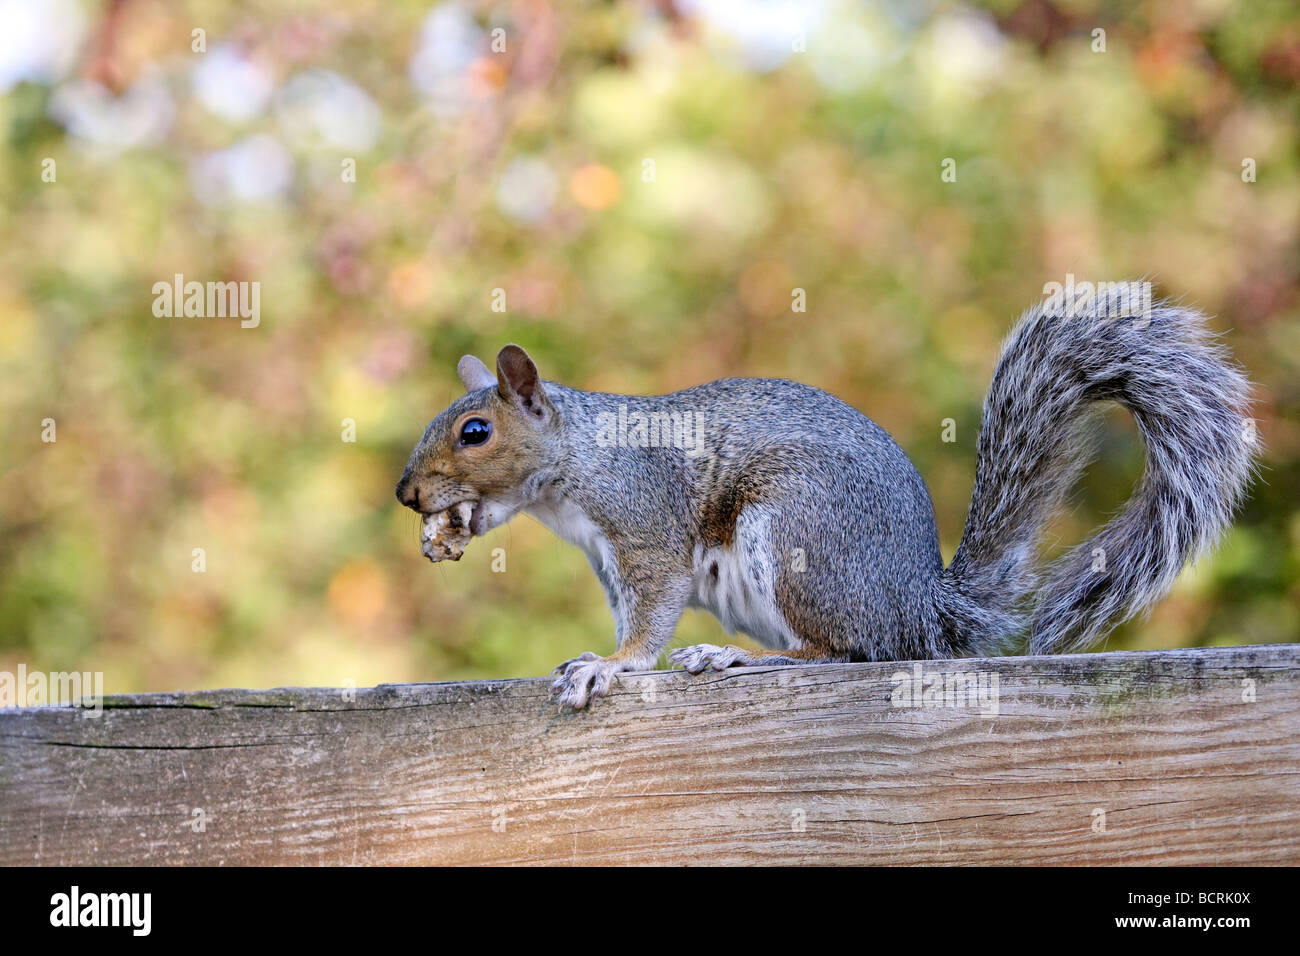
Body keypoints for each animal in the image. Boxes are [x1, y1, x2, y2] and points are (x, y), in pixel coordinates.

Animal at [395, 291, 1258, 712]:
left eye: (475, 431)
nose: (407, 494)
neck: (576, 461)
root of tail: (919, 607)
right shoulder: (608, 561)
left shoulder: (643, 524)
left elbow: (650, 616)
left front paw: (611, 667)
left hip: (796, 534)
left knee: (845, 652)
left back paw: (743, 657)